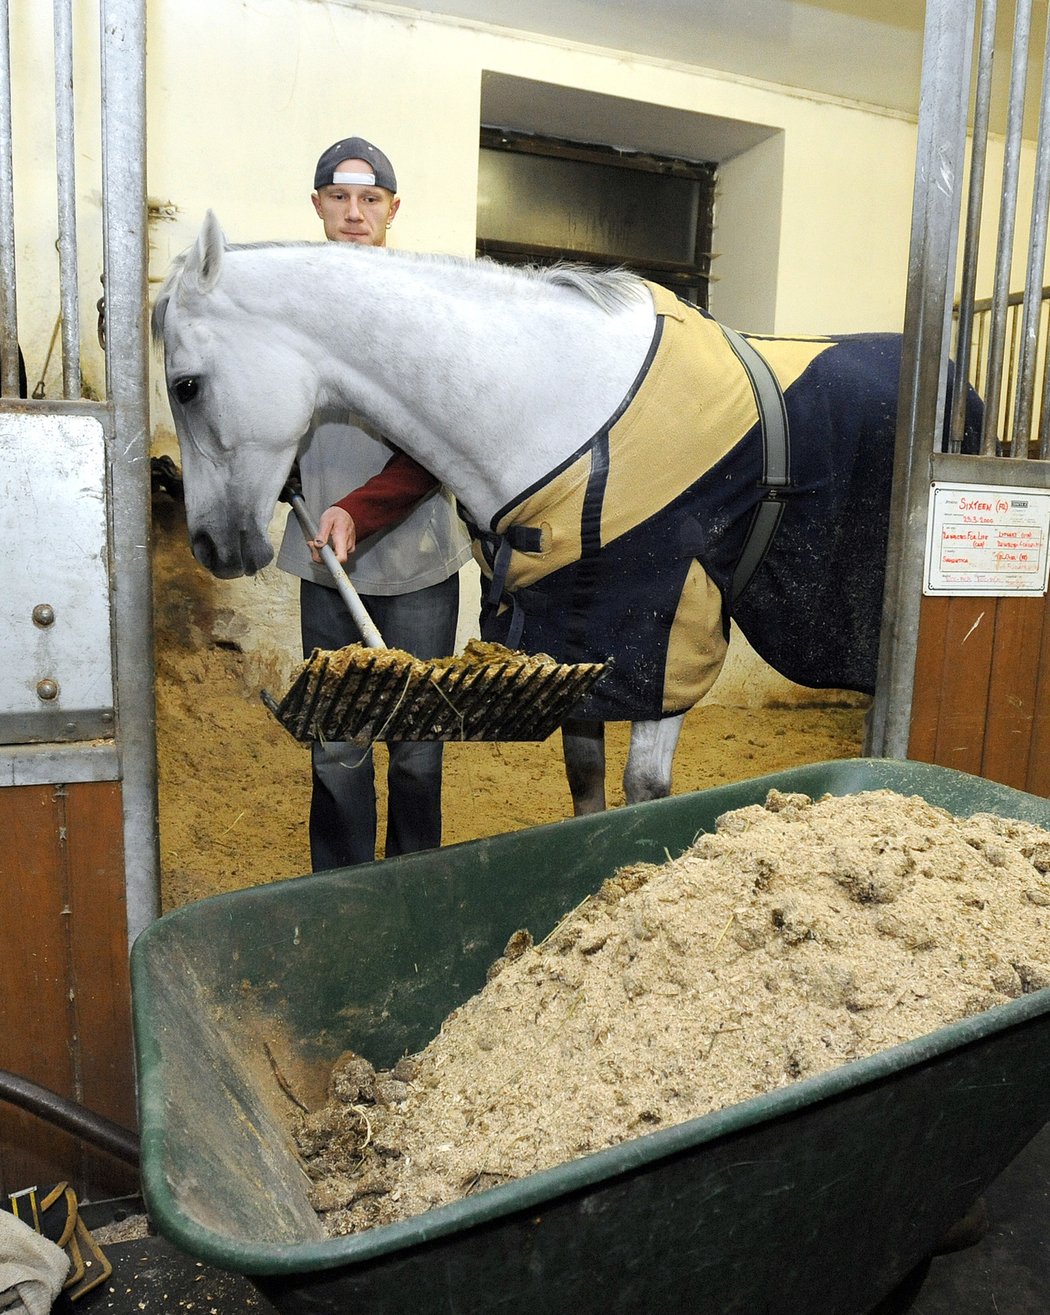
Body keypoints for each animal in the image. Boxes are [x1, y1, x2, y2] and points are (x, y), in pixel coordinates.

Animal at [153, 214, 978, 810]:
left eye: (186, 386)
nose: (213, 545)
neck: (559, 407)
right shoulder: (576, 636)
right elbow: (585, 777)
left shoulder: (665, 632)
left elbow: (645, 789)